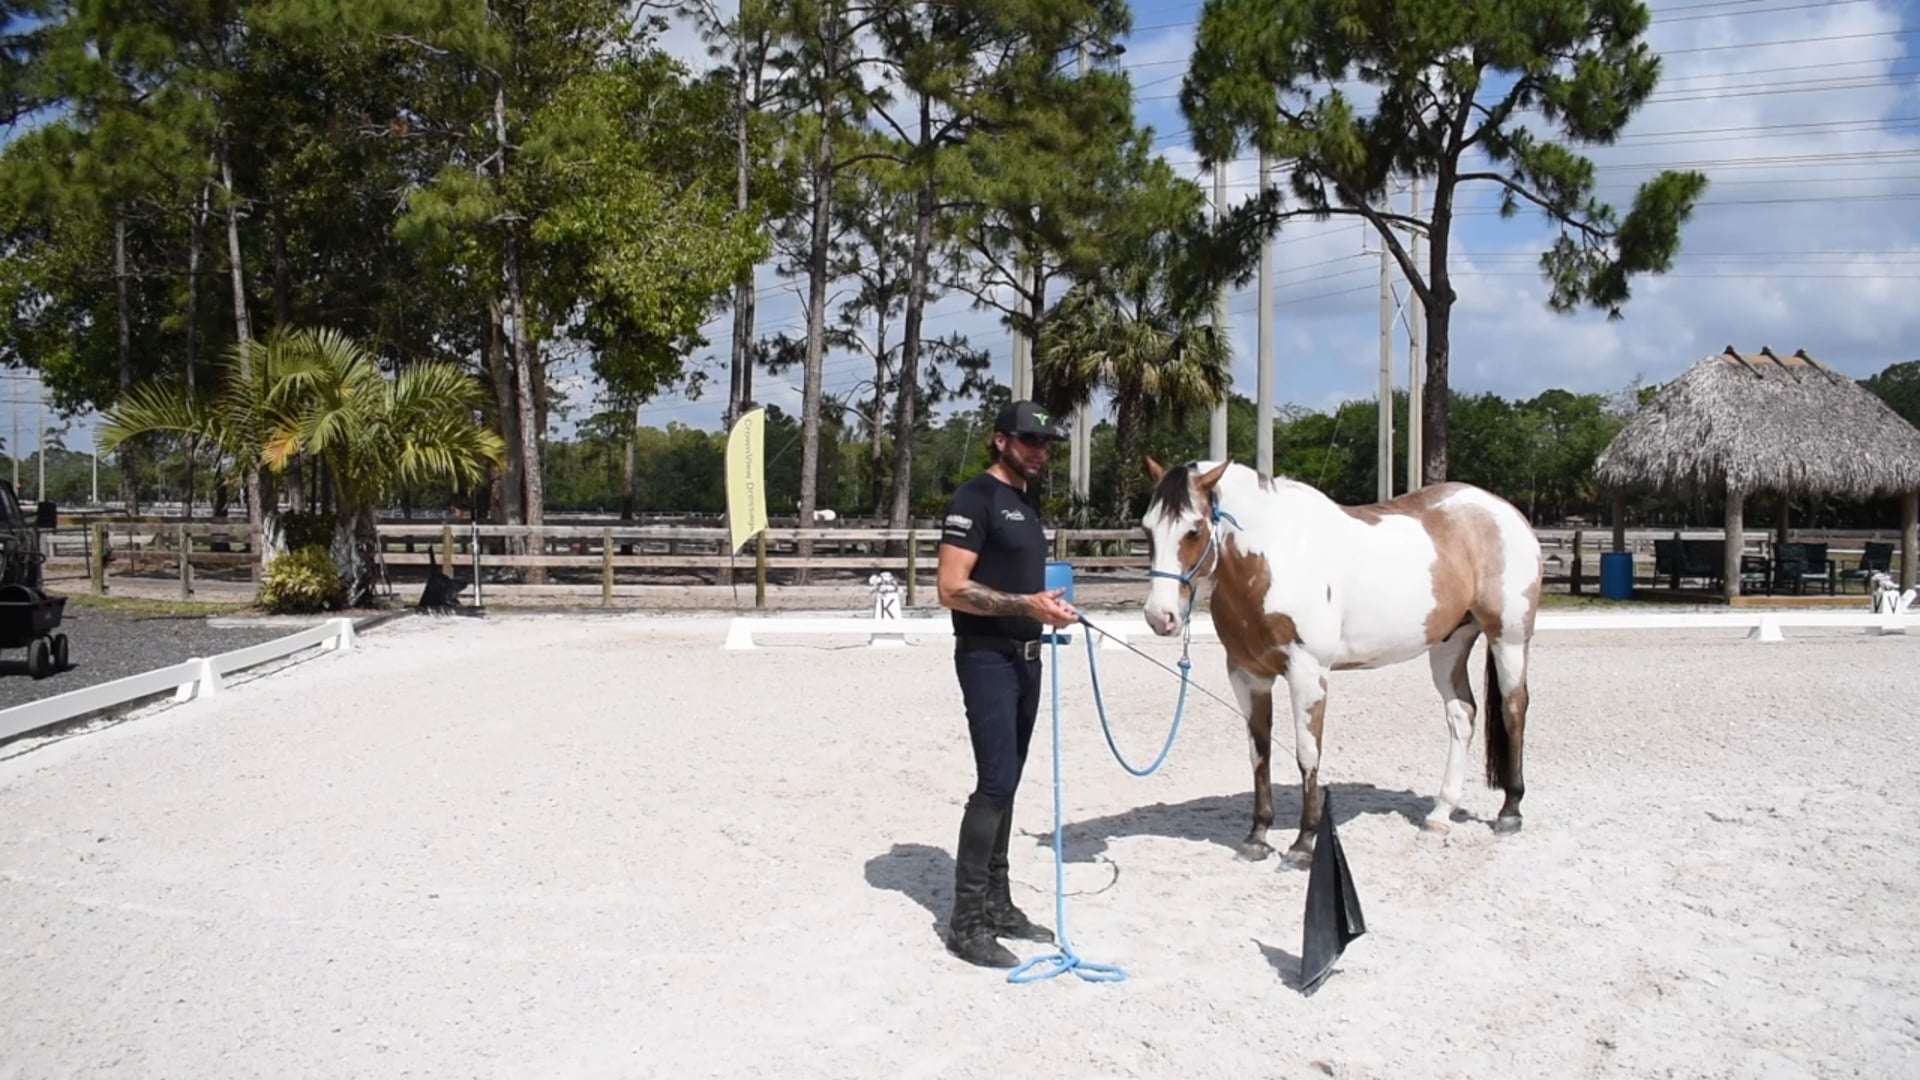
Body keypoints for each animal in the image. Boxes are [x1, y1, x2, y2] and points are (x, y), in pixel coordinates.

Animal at [1138, 457, 1544, 867]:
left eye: (1193, 530)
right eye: (1147, 529)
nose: (1160, 617)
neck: (1278, 555)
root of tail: (1505, 511)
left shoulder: (1307, 672)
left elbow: (1307, 753)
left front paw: (1303, 844)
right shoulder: (1247, 674)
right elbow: (1259, 753)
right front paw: (1256, 838)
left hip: (1508, 638)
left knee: (1513, 709)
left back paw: (1510, 812)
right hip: (1450, 644)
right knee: (1462, 715)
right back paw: (1440, 816)